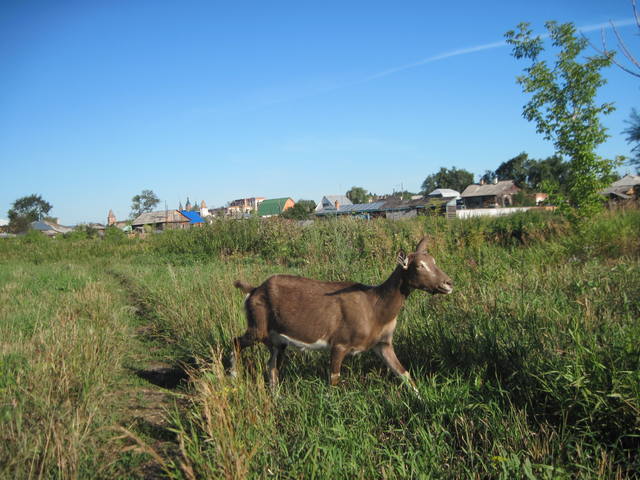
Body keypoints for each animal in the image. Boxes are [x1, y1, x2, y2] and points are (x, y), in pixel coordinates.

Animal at [228, 236, 452, 390]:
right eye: (419, 266)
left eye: (434, 261)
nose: (448, 283)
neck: (376, 309)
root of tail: (252, 290)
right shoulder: (339, 343)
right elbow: (333, 381)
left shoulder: (383, 343)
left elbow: (404, 373)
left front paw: (421, 399)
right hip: (257, 325)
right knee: (236, 341)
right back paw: (232, 376)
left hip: (277, 340)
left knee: (272, 366)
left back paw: (276, 397)